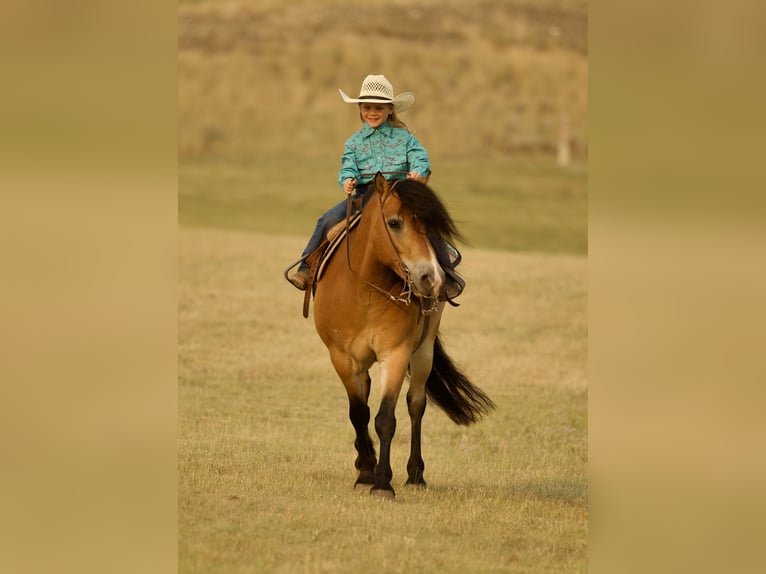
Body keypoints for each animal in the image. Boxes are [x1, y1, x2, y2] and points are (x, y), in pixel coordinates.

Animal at [311, 172, 495, 499]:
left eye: (431, 226)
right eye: (395, 222)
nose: (431, 278)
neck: (365, 292)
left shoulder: (395, 354)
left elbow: (385, 418)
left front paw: (382, 483)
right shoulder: (342, 358)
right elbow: (359, 413)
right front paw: (366, 472)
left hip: (423, 352)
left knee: (416, 403)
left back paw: (415, 474)